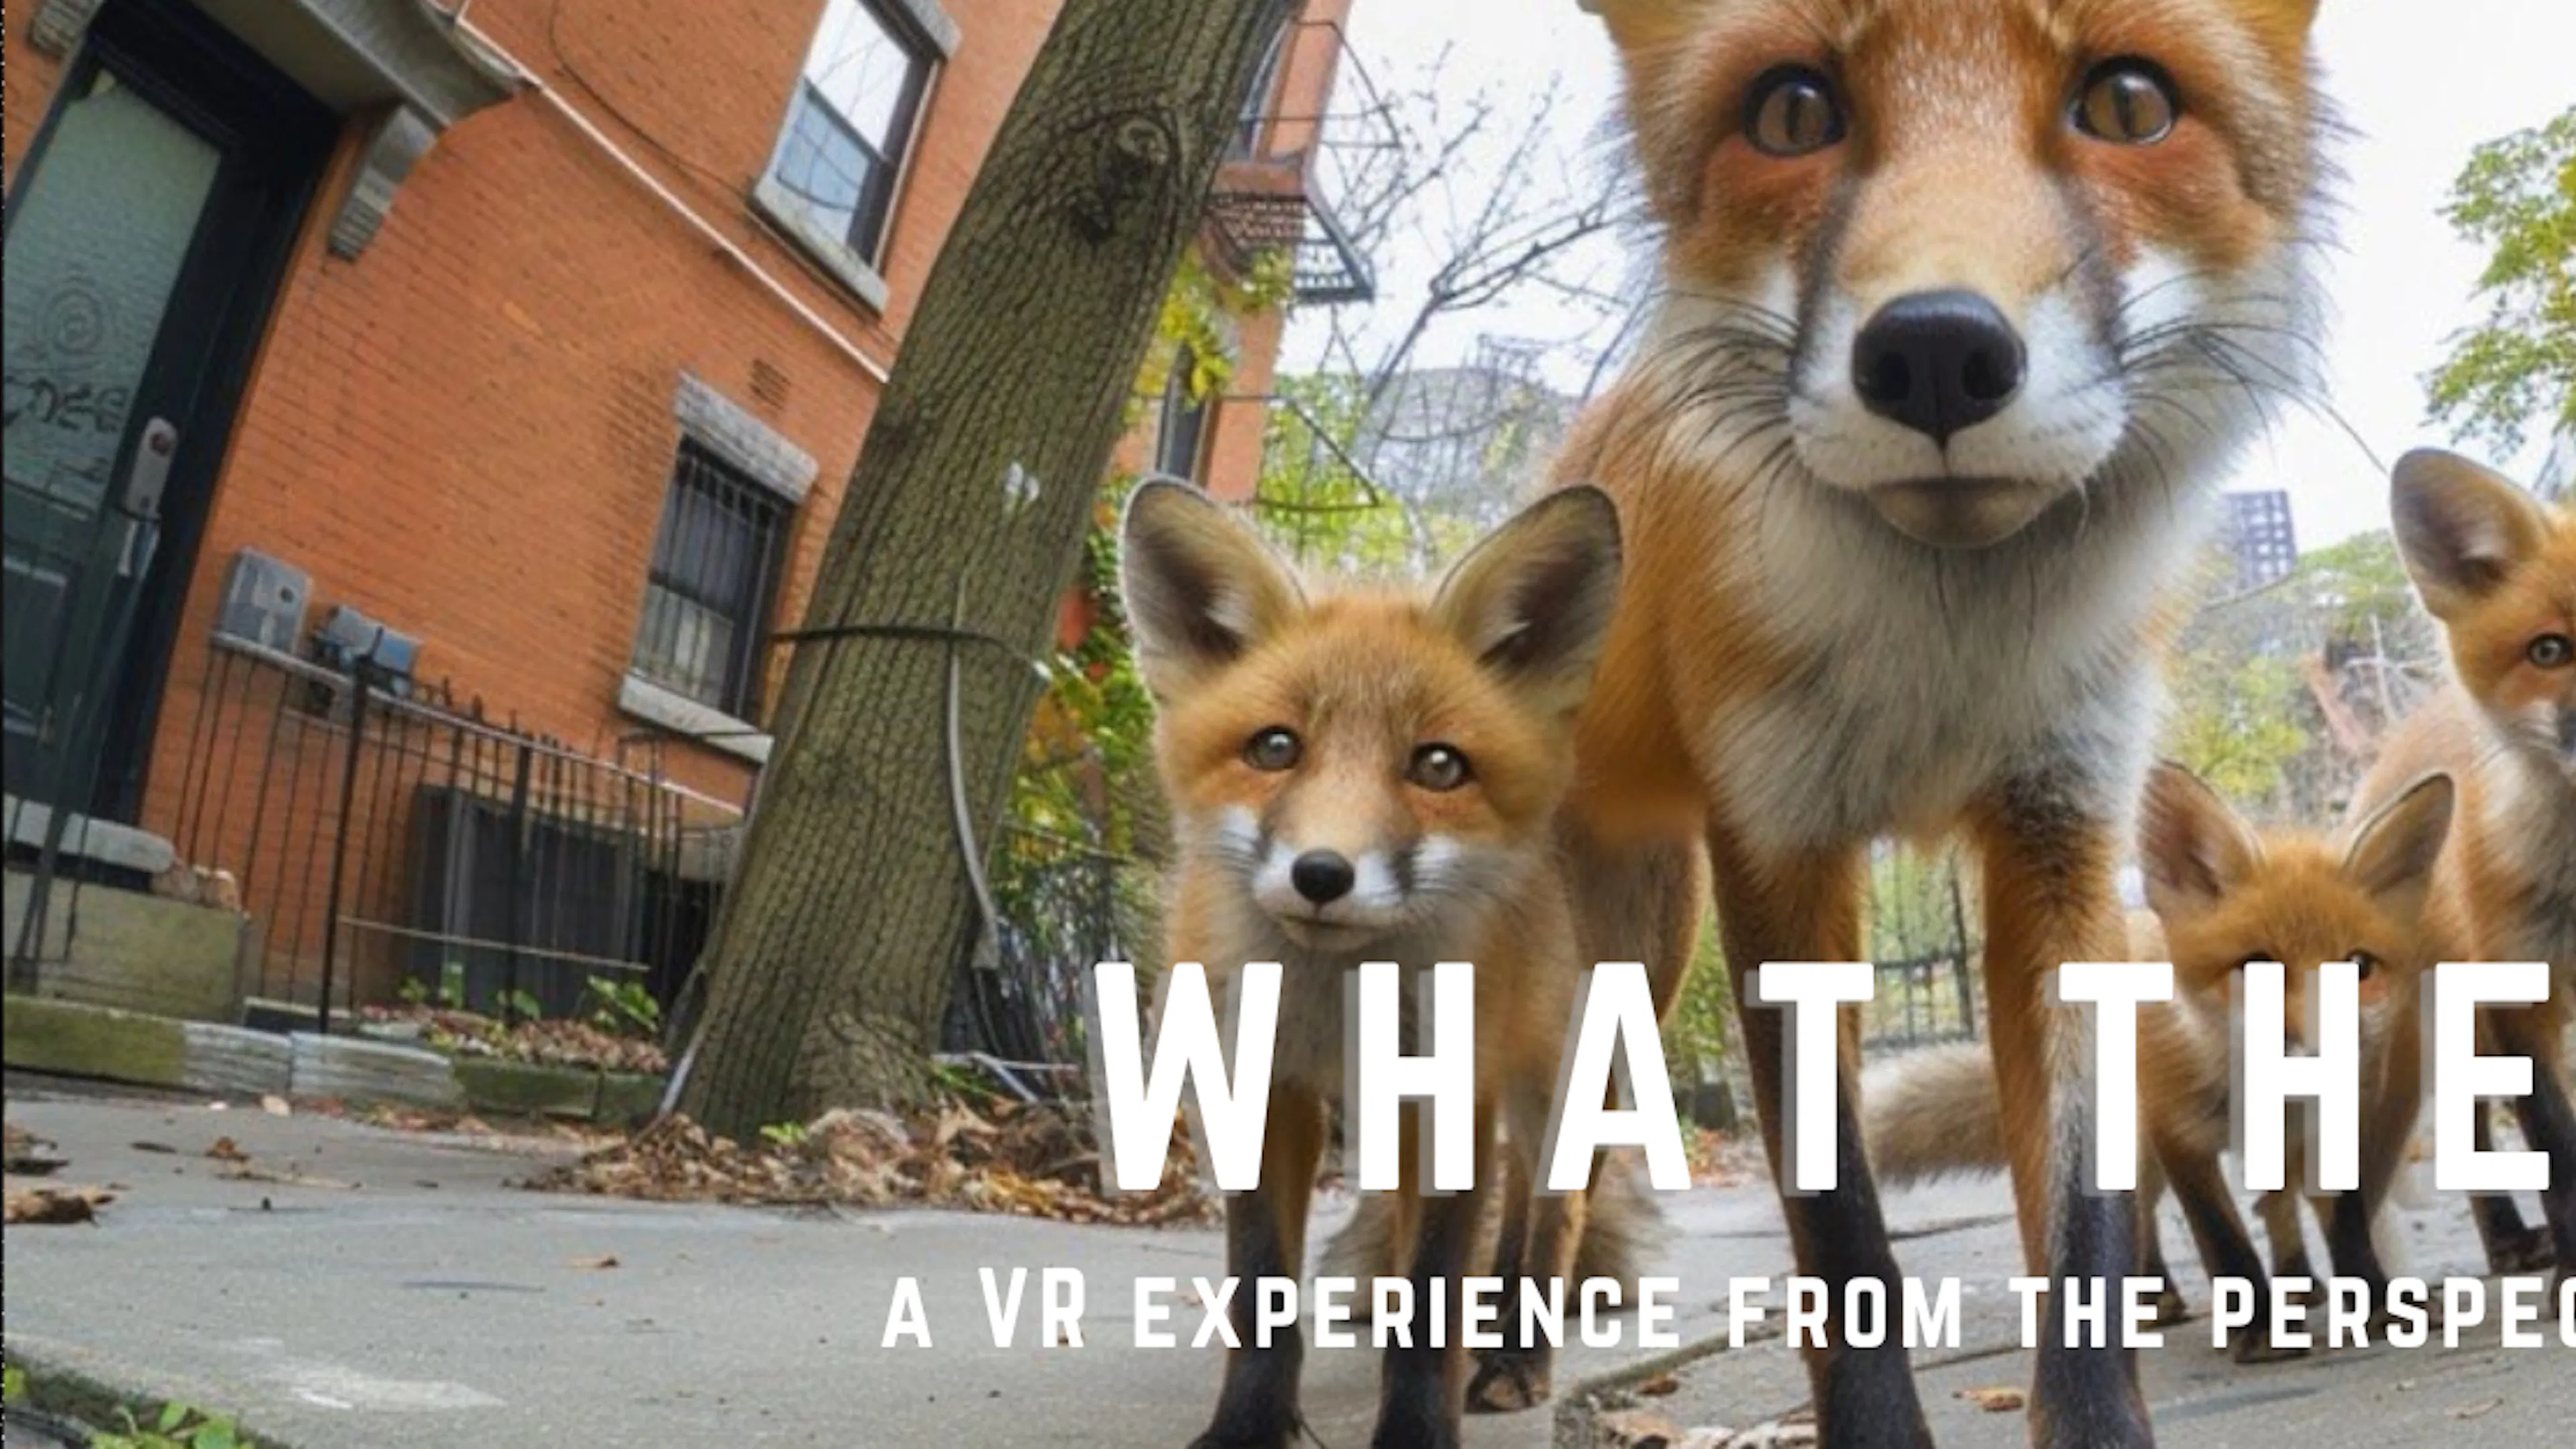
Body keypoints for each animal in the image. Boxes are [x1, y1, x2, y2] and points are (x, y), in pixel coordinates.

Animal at [1119, 479, 1625, 1449]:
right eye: (1275, 748)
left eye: (1439, 765)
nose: (1323, 875)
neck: (1336, 1003)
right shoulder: (1259, 1092)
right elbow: (1262, 1291)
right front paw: (1248, 1426)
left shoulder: (1455, 1099)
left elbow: (1436, 1297)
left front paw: (1419, 1428)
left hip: (1544, 1098)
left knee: (1555, 1215)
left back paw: (1517, 1361)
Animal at [1561, 1, 2332, 1441]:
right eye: (1792, 111)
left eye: (2131, 103)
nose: (1933, 352)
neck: (1943, 660)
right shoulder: (1778, 847)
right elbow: (1836, 1221)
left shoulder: (2062, 833)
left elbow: (2082, 1214)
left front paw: (2098, 1413)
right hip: (1631, 958)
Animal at [1863, 763, 2456, 1361]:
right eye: (2257, 968)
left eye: (2359, 966)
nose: (2322, 1052)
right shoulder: (2180, 1137)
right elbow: (2223, 1239)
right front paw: (2258, 1330)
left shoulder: (2333, 1131)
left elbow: (2348, 1229)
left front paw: (2377, 1304)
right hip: (2129, 1147)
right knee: (2143, 1217)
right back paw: (2157, 1296)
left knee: (2274, 1205)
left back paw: (2297, 1283)